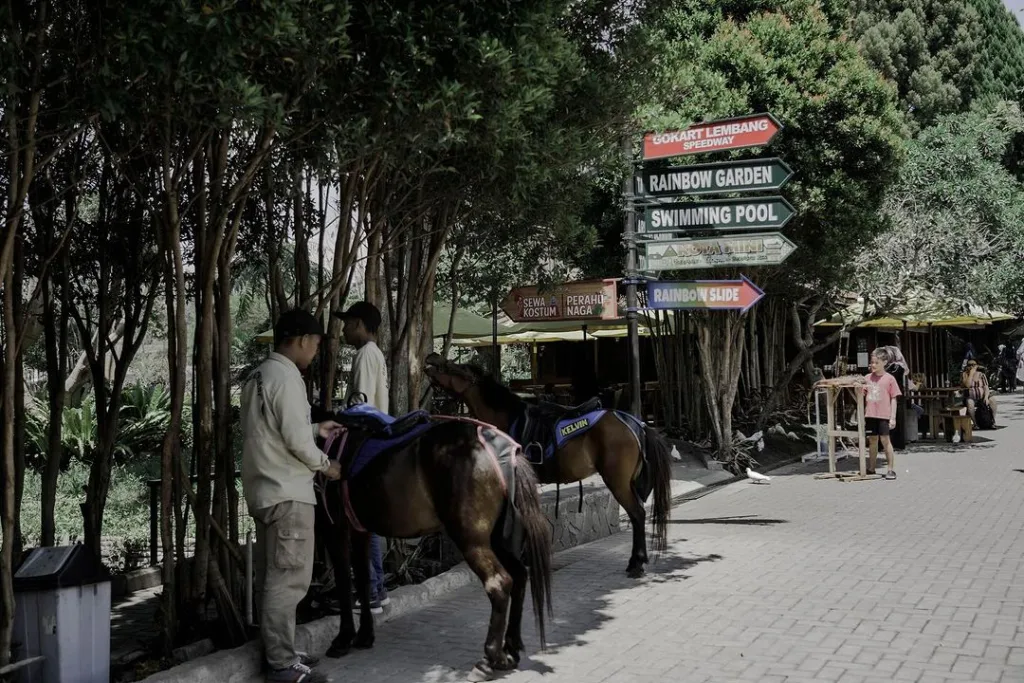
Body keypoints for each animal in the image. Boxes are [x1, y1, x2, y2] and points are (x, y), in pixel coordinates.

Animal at [311, 405, 552, 679]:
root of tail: (497, 447)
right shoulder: (360, 531)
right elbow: (362, 579)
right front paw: (364, 636)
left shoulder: (335, 529)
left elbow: (343, 581)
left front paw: (343, 639)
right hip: (499, 538)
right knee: (520, 576)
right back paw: (510, 650)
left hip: (473, 541)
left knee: (499, 583)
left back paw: (488, 660)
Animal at [419, 356, 675, 581]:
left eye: (456, 368)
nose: (431, 358)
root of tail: (637, 424)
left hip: (618, 482)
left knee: (637, 514)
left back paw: (636, 564)